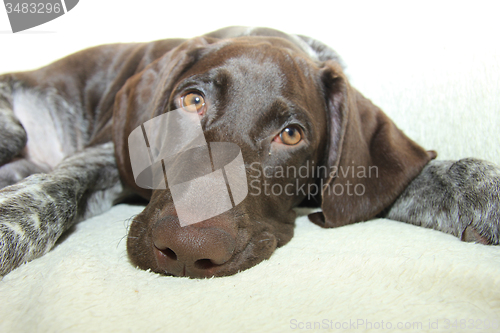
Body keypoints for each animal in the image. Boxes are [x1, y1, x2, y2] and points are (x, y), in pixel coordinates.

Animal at [0, 26, 500, 278]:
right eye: (192, 101)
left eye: (292, 135)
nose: (187, 249)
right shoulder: (103, 153)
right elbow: (56, 189)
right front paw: (11, 226)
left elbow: (428, 176)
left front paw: (486, 194)